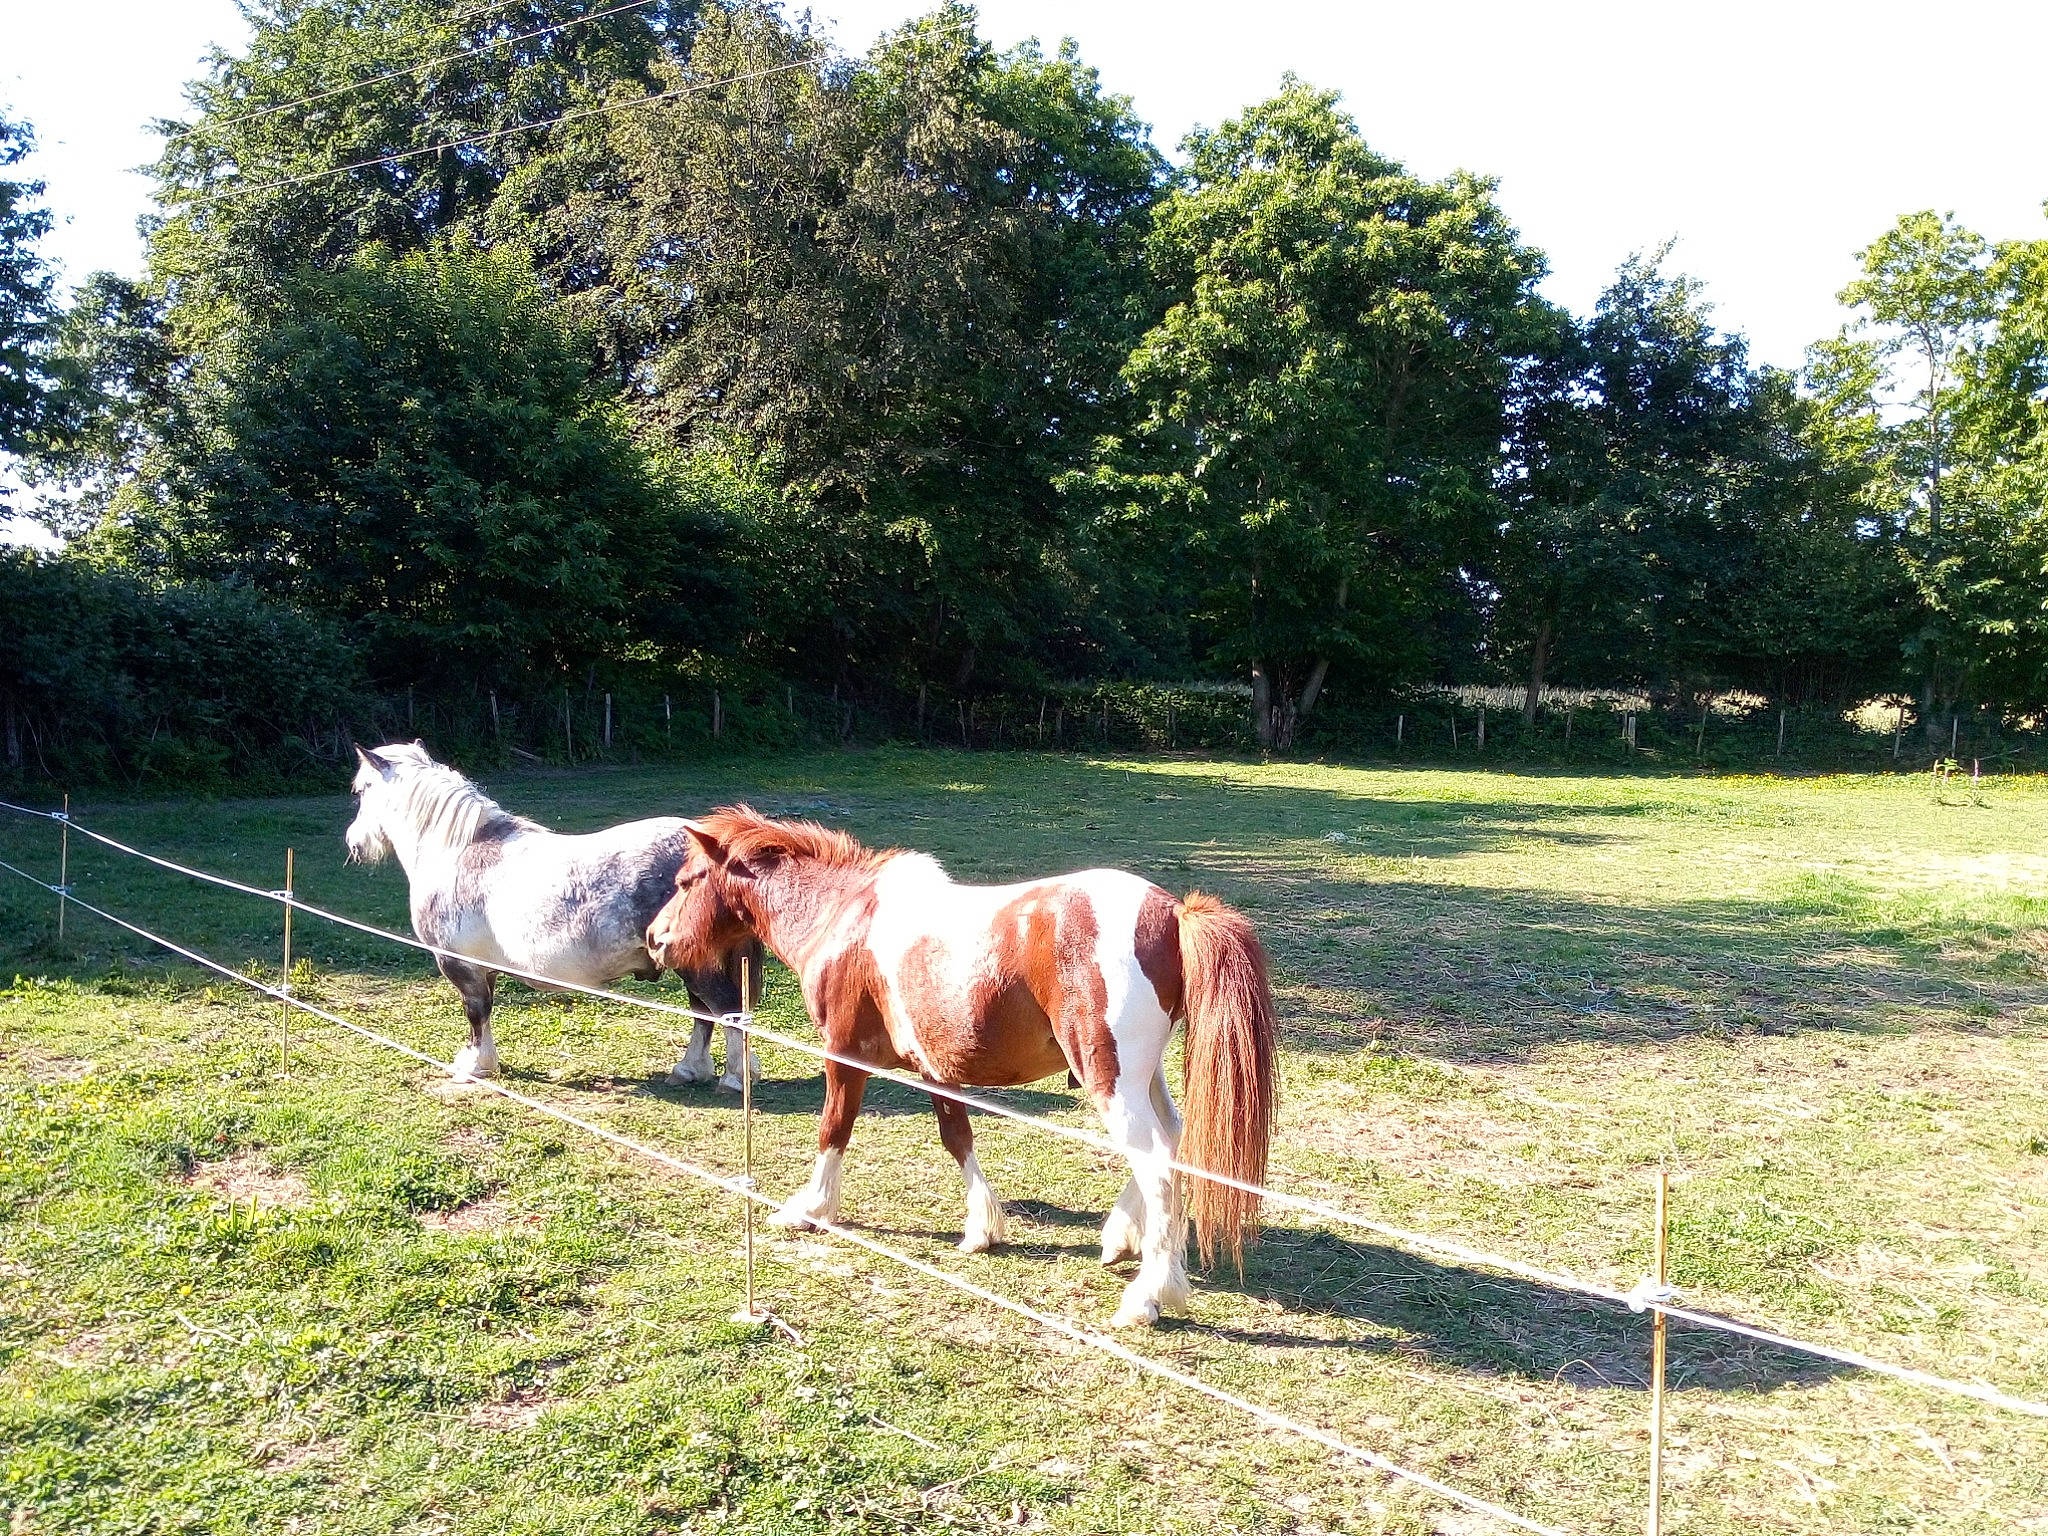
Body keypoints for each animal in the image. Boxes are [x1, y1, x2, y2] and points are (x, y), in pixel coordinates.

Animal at [344, 743, 762, 1086]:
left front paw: (475, 1066)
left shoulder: (461, 966)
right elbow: (485, 1012)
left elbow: (476, 1013)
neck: (457, 853)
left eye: (361, 790)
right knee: (703, 1012)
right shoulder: (483, 968)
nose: (354, 842)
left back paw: (735, 1078)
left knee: (725, 1009)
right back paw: (690, 1069)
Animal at [645, 806, 1278, 1328]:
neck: (844, 918)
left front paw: (810, 1208)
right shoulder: (935, 1067)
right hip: (1142, 1077)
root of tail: (1172, 913)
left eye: (687, 880)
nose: (654, 938)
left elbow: (834, 1129)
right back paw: (1121, 1238)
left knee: (1155, 1164)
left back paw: (1149, 1296)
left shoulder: (843, 1054)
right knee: (1170, 1137)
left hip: (1109, 1078)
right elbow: (957, 1136)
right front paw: (982, 1228)